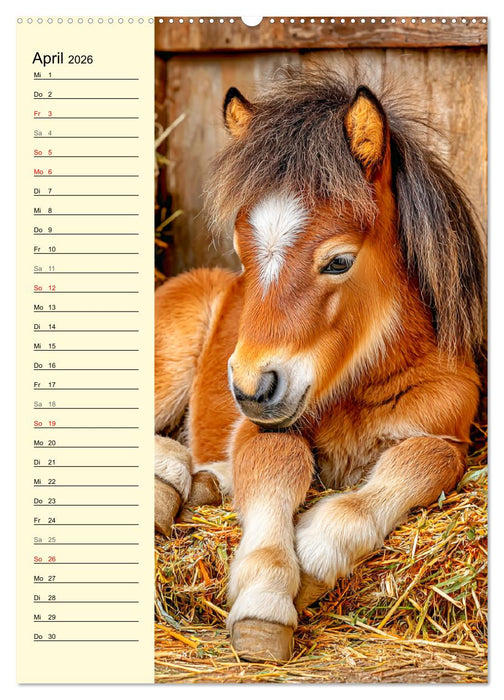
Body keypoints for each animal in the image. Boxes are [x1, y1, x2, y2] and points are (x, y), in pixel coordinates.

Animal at [154, 66, 485, 662]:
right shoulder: (262, 428)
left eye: (338, 262)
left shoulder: (447, 435)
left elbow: (413, 466)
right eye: (243, 256)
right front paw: (264, 595)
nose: (251, 388)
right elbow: (280, 464)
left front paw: (313, 553)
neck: (353, 390)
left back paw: (203, 483)